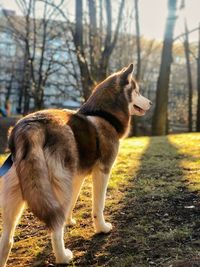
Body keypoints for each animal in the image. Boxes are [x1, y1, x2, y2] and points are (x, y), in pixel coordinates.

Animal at [0, 63, 151, 266]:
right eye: (137, 91)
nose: (150, 103)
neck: (103, 115)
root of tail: (29, 128)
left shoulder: (76, 178)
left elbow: (73, 202)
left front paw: (69, 221)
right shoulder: (102, 171)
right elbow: (98, 206)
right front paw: (102, 228)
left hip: (17, 197)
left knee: (7, 238)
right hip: (55, 187)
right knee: (54, 230)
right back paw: (63, 256)